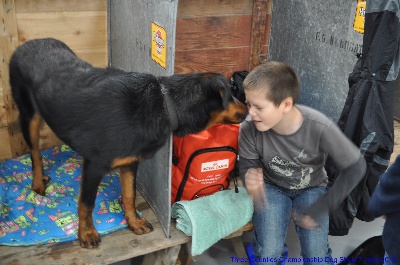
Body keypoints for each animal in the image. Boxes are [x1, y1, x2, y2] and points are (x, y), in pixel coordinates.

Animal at [8, 37, 247, 248]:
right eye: (232, 95)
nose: (248, 108)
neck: (164, 103)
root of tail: (26, 44)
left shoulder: (131, 162)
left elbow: (130, 195)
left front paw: (133, 222)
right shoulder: (94, 166)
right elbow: (86, 203)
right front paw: (86, 233)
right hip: (29, 115)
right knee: (35, 152)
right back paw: (37, 182)